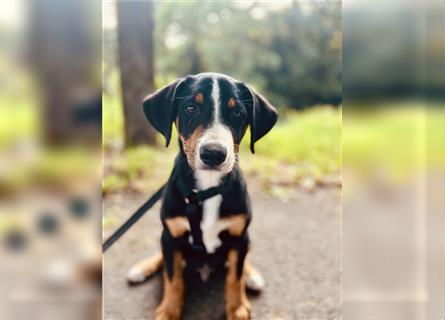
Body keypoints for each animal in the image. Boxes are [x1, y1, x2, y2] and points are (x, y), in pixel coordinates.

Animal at [126, 72, 276, 320]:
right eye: (190, 108)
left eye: (237, 112)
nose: (213, 154)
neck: (207, 190)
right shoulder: (171, 235)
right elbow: (173, 278)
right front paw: (169, 311)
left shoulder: (239, 236)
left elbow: (234, 277)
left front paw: (237, 308)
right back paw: (141, 268)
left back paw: (252, 276)